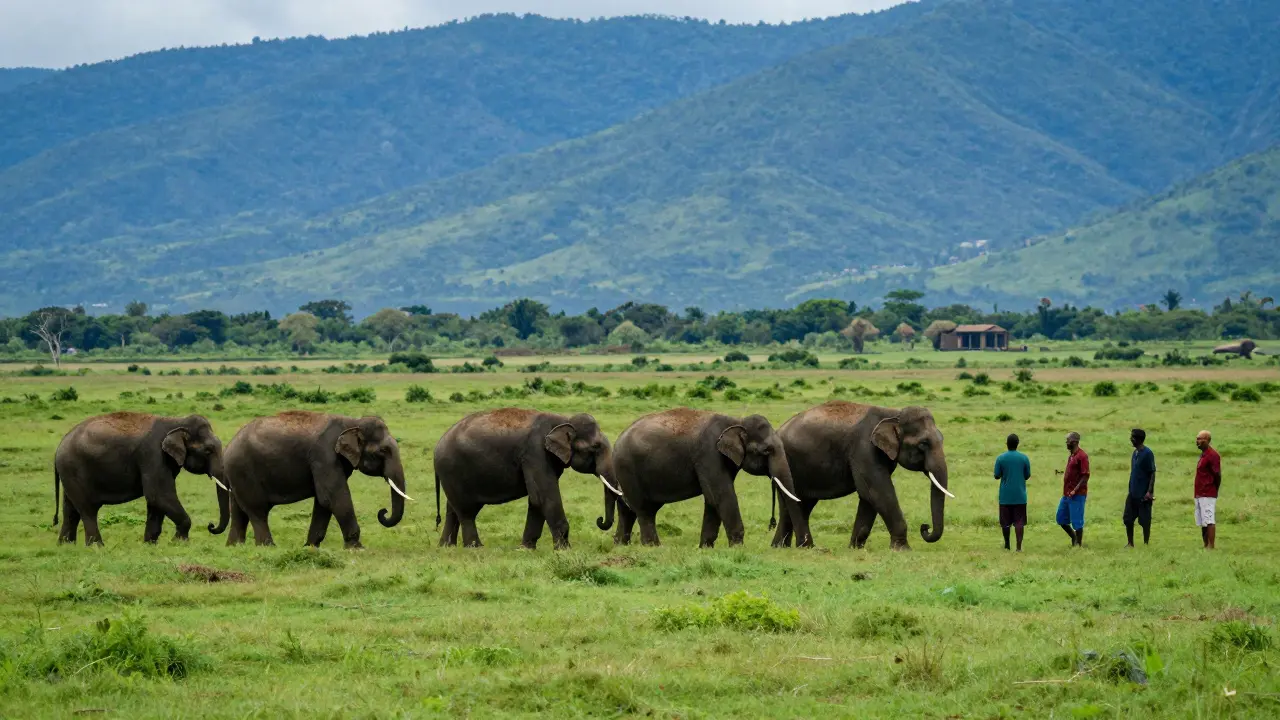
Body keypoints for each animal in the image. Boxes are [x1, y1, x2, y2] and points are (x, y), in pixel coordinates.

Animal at [53, 412, 226, 546]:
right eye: (208, 450)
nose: (210, 525)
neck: (176, 421)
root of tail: (59, 447)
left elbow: (156, 501)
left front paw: (150, 545)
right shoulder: (153, 454)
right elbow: (158, 494)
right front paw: (179, 542)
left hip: (69, 473)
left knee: (70, 509)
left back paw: (66, 546)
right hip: (74, 469)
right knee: (88, 509)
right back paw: (97, 547)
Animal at [211, 411, 410, 548]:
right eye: (383, 451)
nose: (382, 512)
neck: (353, 422)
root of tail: (229, 446)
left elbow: (323, 502)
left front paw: (310, 547)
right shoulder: (324, 455)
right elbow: (331, 496)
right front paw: (357, 548)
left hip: (237, 475)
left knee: (239, 511)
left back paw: (234, 547)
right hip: (244, 471)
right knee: (257, 510)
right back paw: (268, 547)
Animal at [434, 408, 617, 549]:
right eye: (595, 447)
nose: (599, 520)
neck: (564, 419)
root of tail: (437, 447)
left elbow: (536, 499)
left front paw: (526, 548)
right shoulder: (535, 452)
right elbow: (543, 496)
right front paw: (564, 550)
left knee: (452, 508)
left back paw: (446, 546)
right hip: (452, 470)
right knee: (466, 511)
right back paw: (475, 548)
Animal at [607, 408, 809, 547]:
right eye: (767, 450)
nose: (804, 543)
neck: (736, 421)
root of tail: (617, 441)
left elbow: (712, 499)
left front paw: (705, 547)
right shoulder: (709, 453)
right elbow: (721, 495)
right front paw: (738, 548)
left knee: (630, 506)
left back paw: (620, 543)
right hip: (628, 468)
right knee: (644, 509)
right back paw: (653, 547)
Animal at [771, 401, 952, 550]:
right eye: (923, 444)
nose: (925, 527)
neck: (893, 414)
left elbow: (869, 496)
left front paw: (855, 548)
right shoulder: (864, 449)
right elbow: (877, 492)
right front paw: (902, 550)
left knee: (799, 504)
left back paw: (781, 547)